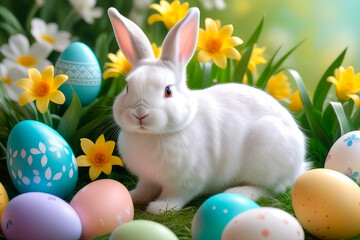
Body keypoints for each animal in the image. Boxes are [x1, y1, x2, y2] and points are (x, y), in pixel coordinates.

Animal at [108, 7, 308, 214]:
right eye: (128, 87)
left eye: (168, 91)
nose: (140, 113)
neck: (155, 135)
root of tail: (298, 166)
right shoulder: (148, 178)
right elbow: (145, 188)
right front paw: (133, 196)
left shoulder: (186, 181)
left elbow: (175, 195)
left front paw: (159, 207)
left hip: (265, 150)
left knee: (268, 189)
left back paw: (239, 192)